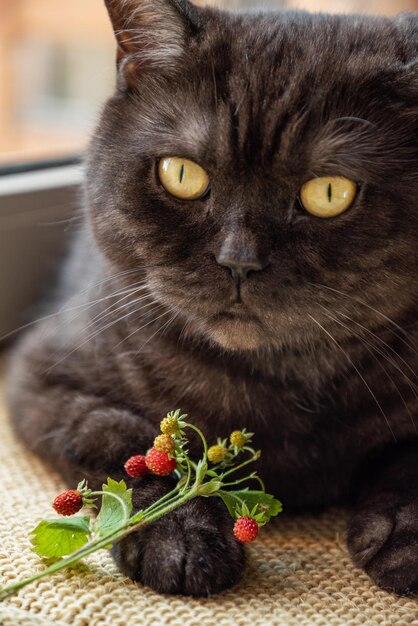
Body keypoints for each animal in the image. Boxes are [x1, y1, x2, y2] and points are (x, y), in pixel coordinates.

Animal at [4, 0, 418, 596]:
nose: (239, 260)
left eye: (330, 193)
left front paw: (404, 539)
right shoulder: (44, 377)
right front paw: (179, 534)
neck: (280, 384)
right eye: (182, 174)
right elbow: (126, 441)